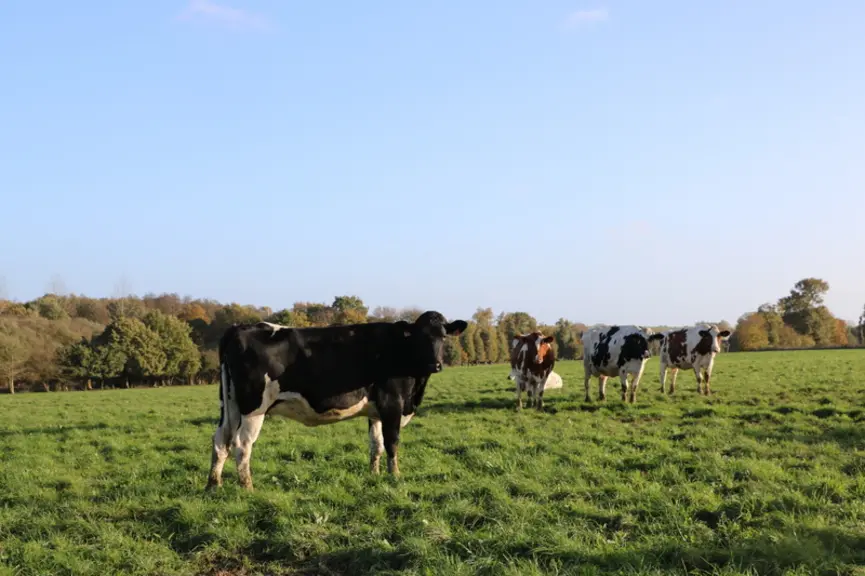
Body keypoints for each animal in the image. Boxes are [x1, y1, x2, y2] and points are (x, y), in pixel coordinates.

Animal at [205, 311, 467, 491]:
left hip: (229, 405)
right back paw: (248, 487)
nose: (435, 364)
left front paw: (374, 475)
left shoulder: (375, 411)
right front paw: (395, 476)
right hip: (254, 408)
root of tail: (239, 327)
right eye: (420, 338)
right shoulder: (392, 404)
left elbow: (376, 445)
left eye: (443, 336)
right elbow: (392, 443)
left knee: (221, 441)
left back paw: (214, 485)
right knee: (241, 444)